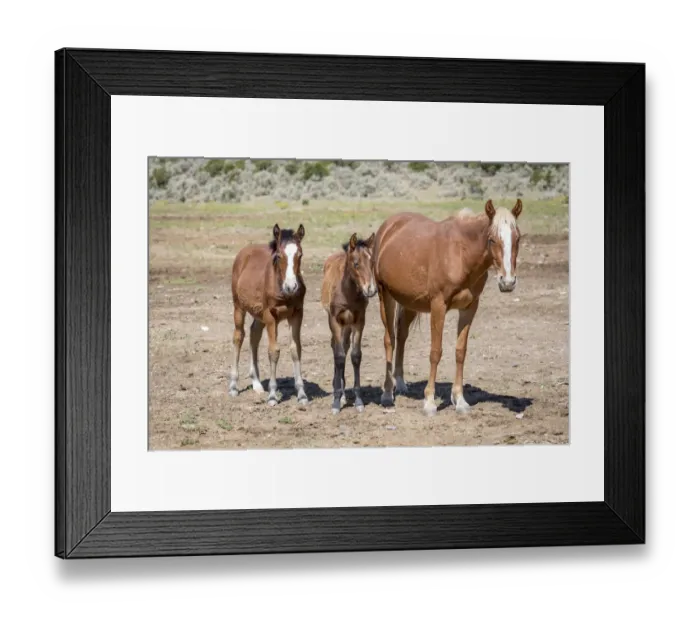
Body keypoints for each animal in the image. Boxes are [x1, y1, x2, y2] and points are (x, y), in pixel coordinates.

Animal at [228, 223, 308, 407]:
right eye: (278, 256)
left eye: (300, 254)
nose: (291, 287)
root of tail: (244, 252)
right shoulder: (271, 316)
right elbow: (274, 351)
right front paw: (272, 395)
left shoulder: (297, 314)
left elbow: (295, 349)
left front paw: (302, 394)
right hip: (239, 307)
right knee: (238, 336)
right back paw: (234, 386)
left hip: (259, 314)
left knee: (254, 335)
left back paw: (257, 383)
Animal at [321, 232, 377, 415]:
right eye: (356, 263)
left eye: (372, 263)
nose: (371, 290)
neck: (347, 292)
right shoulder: (335, 321)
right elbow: (339, 356)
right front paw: (336, 401)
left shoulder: (359, 321)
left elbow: (355, 356)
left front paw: (358, 400)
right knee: (336, 348)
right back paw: (339, 391)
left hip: (348, 325)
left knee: (344, 348)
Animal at [372, 199, 523, 416]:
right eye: (492, 239)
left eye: (518, 238)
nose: (508, 282)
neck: (461, 254)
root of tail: (388, 226)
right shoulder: (438, 306)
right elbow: (435, 352)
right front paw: (429, 402)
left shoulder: (470, 307)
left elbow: (460, 351)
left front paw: (460, 400)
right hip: (386, 296)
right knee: (389, 340)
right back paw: (386, 393)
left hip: (409, 302)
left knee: (401, 336)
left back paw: (400, 383)